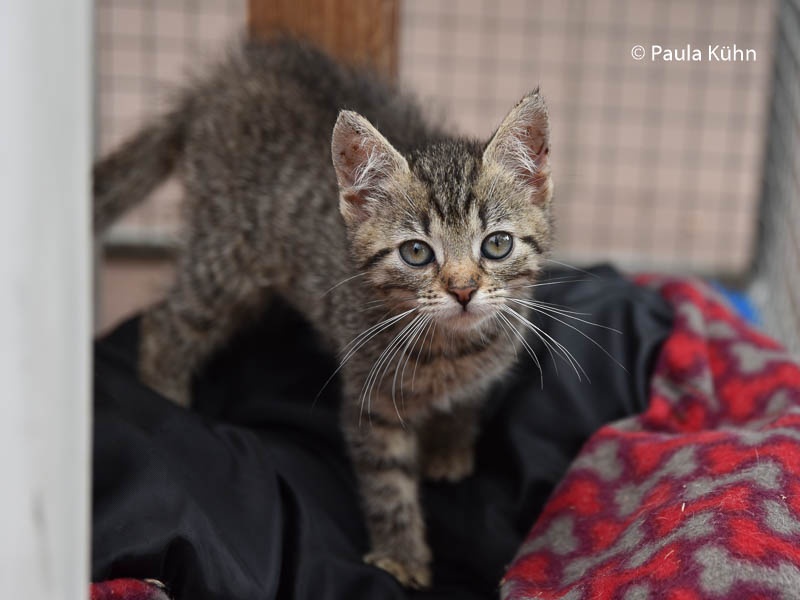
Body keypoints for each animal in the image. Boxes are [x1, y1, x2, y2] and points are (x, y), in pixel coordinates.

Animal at [94, 37, 553, 589]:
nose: (463, 290)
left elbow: (464, 403)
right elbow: (388, 484)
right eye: (416, 253)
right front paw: (401, 559)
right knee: (167, 319)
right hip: (228, 256)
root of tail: (224, 80)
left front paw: (450, 448)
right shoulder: (369, 396)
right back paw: (165, 393)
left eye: (497, 244)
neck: (454, 347)